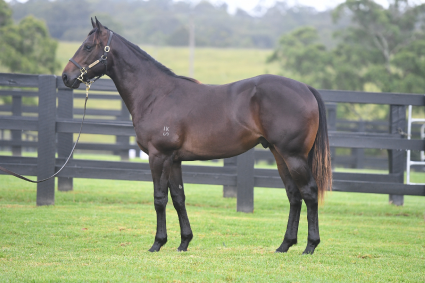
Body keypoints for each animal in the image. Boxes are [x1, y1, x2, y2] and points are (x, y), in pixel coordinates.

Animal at [61, 18, 332, 256]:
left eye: (87, 46)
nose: (65, 77)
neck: (156, 94)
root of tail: (305, 88)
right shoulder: (174, 160)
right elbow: (179, 198)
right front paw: (184, 242)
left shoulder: (159, 156)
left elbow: (160, 198)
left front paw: (157, 243)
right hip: (279, 155)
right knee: (294, 195)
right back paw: (285, 245)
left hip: (293, 156)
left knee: (309, 193)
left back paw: (310, 246)